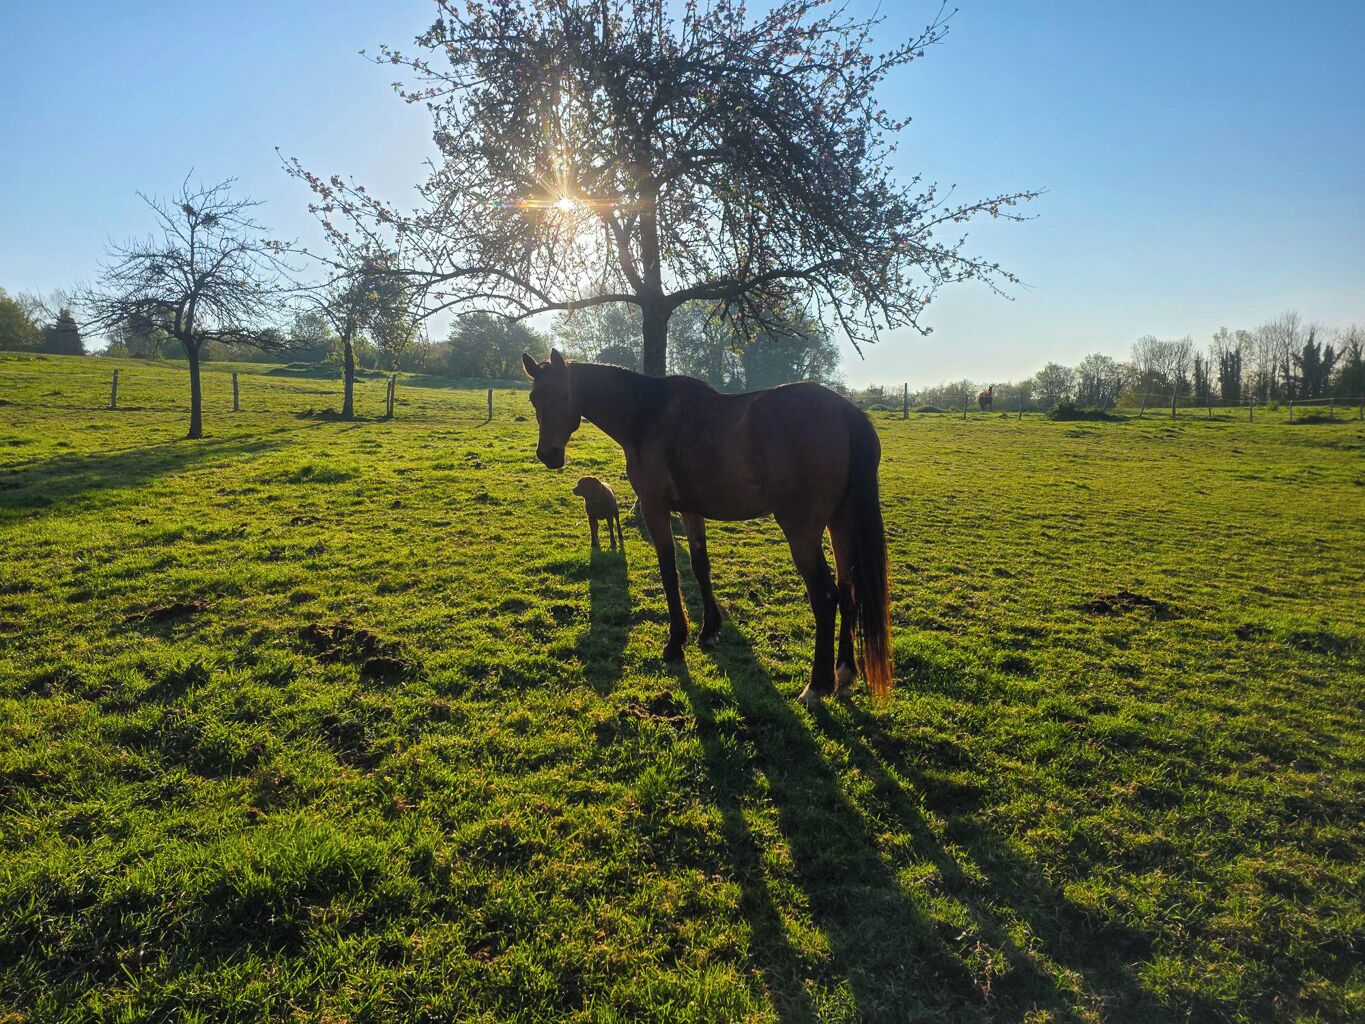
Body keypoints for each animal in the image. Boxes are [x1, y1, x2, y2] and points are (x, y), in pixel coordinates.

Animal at [522, 349, 892, 704]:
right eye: (534, 398)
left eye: (563, 394)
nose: (548, 454)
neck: (648, 416)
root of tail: (844, 412)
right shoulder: (691, 510)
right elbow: (701, 566)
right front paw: (709, 630)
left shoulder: (655, 508)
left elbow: (669, 571)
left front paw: (676, 641)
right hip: (840, 522)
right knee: (848, 587)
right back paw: (844, 673)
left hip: (802, 530)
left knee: (826, 596)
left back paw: (817, 685)